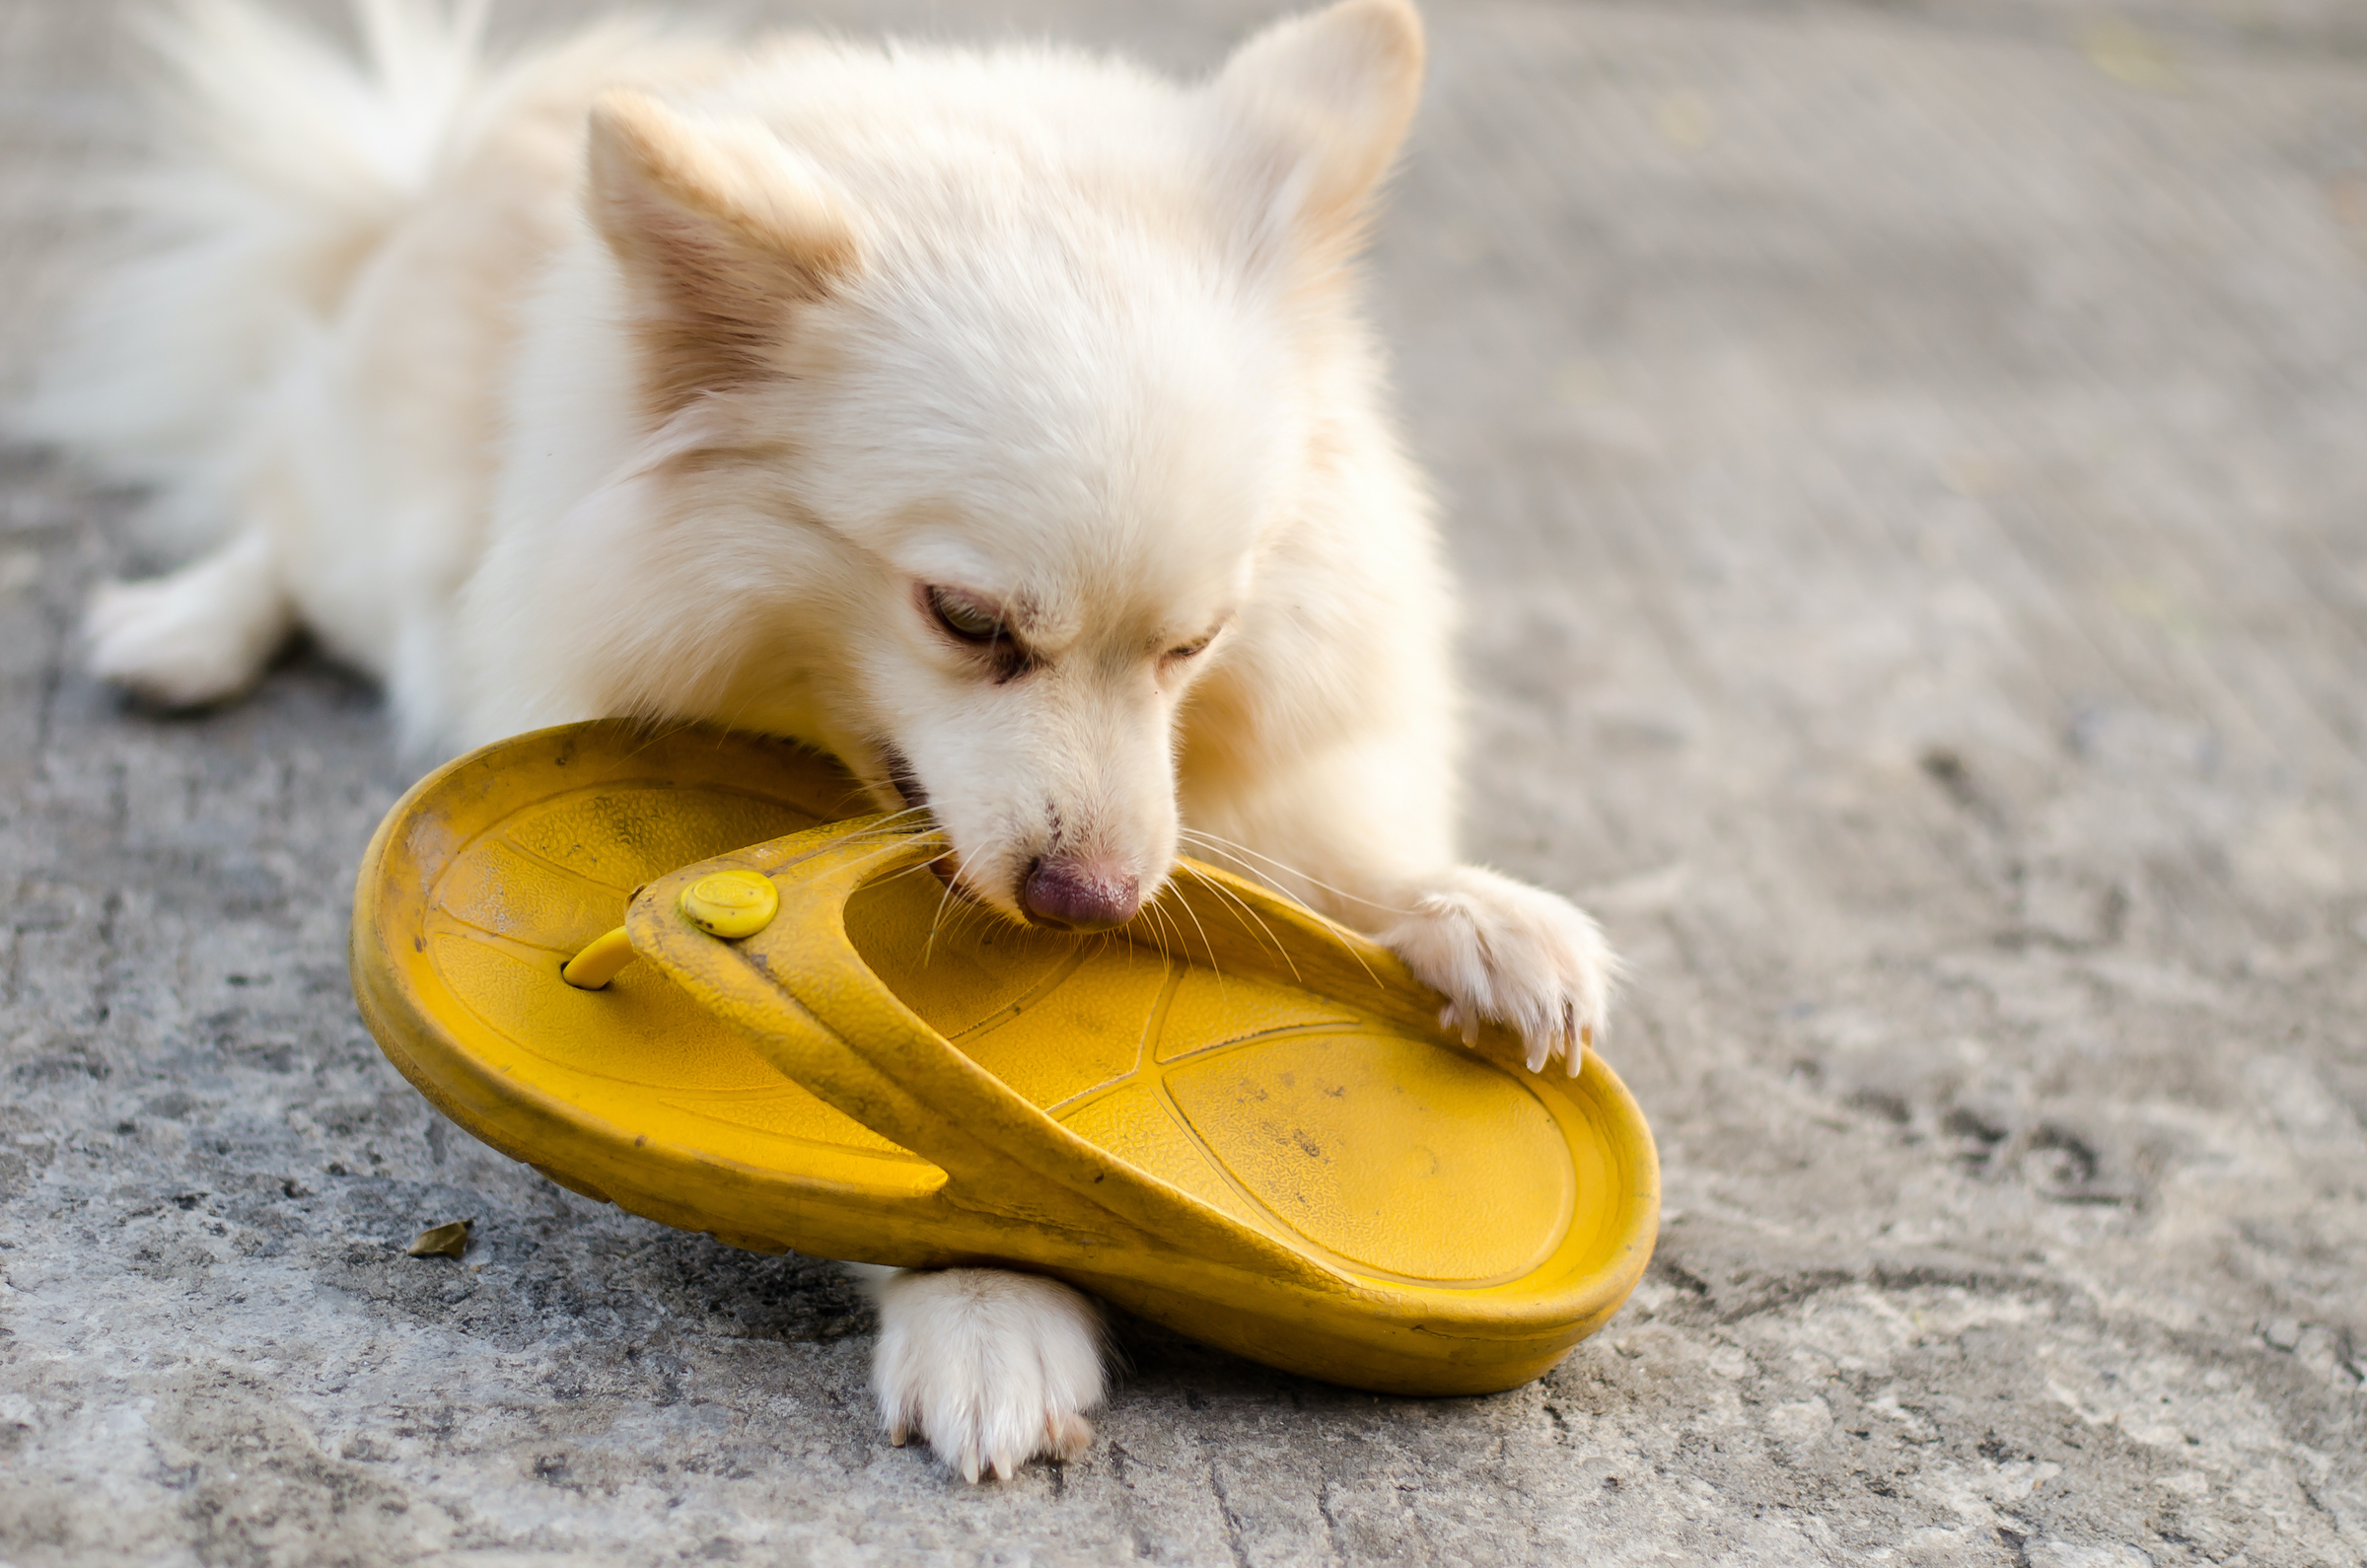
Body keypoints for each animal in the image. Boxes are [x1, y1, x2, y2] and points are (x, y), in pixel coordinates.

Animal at [28, 0, 1618, 1487]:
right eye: (966, 619)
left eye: (1195, 643)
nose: (1097, 903)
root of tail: (440, 166)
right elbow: (908, 1155)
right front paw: (987, 1304)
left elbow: (1355, 850)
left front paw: (1479, 920)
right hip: (378, 535)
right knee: (279, 514)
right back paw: (184, 627)